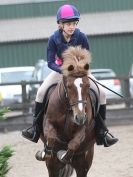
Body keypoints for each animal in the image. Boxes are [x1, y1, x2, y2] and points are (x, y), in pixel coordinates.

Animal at [41, 46, 95, 177]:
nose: (79, 117)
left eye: (87, 85)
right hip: (52, 168)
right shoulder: (48, 122)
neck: (68, 107)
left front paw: (63, 155)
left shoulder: (83, 127)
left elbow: (74, 143)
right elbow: (51, 137)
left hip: (83, 166)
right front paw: (47, 152)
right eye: (69, 86)